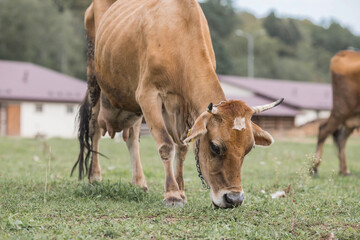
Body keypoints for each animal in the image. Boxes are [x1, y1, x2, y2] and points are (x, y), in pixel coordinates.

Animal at [71, 0, 282, 208]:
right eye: (215, 146)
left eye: (249, 148)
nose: (234, 199)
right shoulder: (148, 95)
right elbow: (166, 144)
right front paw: (172, 194)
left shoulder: (180, 106)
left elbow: (182, 147)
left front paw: (181, 191)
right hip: (95, 81)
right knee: (94, 130)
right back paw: (94, 178)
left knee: (132, 138)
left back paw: (139, 183)